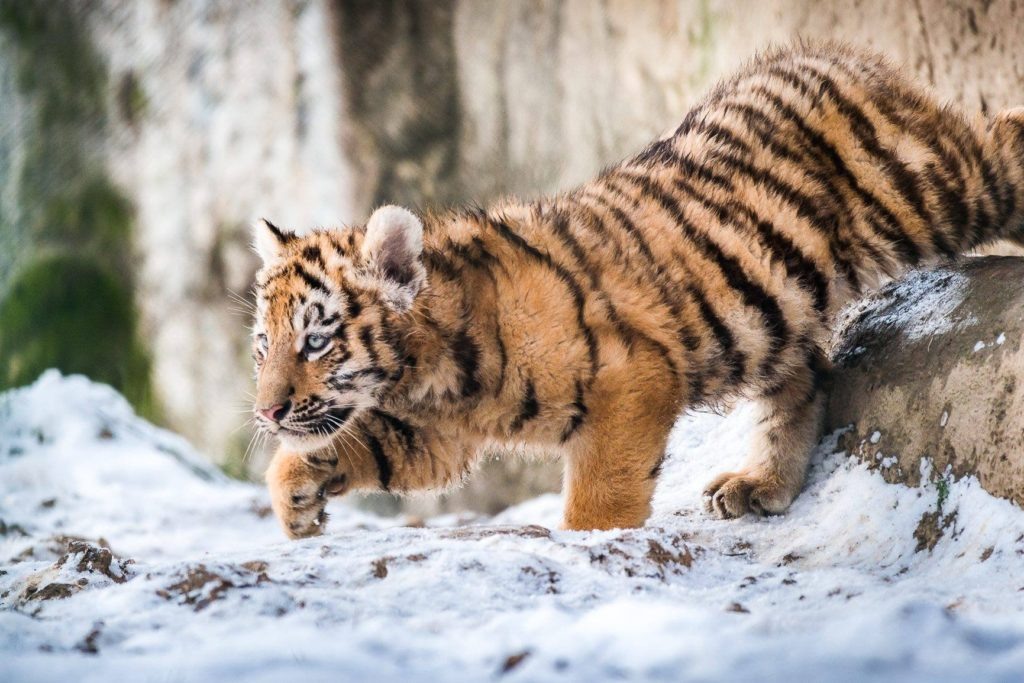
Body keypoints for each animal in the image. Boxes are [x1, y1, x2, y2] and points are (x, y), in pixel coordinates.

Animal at [251, 41, 1024, 540]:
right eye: (263, 346)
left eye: (316, 340)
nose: (266, 411)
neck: (428, 372)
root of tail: (831, 56)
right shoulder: (436, 434)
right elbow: (364, 443)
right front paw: (296, 498)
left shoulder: (628, 382)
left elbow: (602, 495)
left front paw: (589, 547)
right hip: (767, 318)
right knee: (804, 382)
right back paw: (759, 485)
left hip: (927, 192)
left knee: (1002, 141)